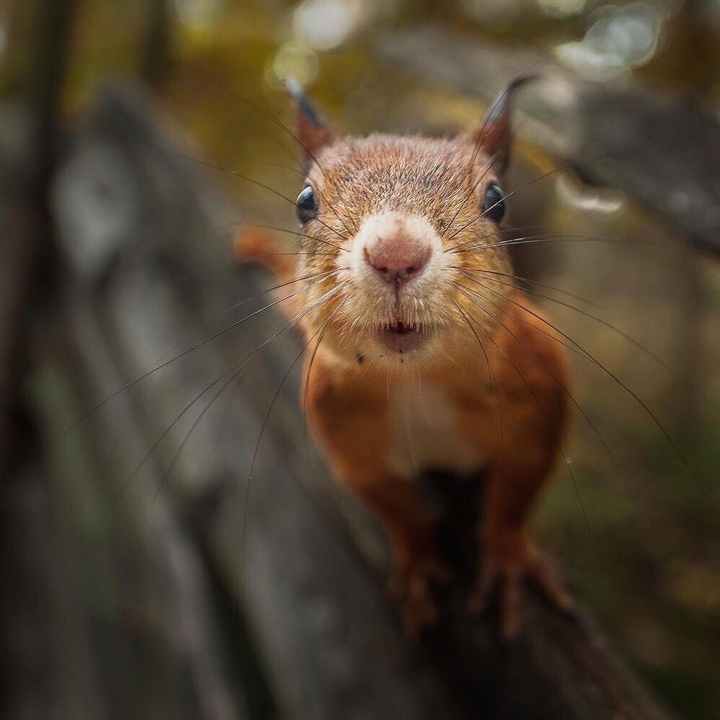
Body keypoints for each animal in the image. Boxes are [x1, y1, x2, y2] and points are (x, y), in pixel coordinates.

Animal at [236, 77, 573, 638]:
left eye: (496, 200)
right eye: (305, 201)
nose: (396, 255)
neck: (418, 383)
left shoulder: (539, 400)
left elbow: (515, 494)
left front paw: (507, 559)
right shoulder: (348, 441)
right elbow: (397, 512)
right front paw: (418, 564)